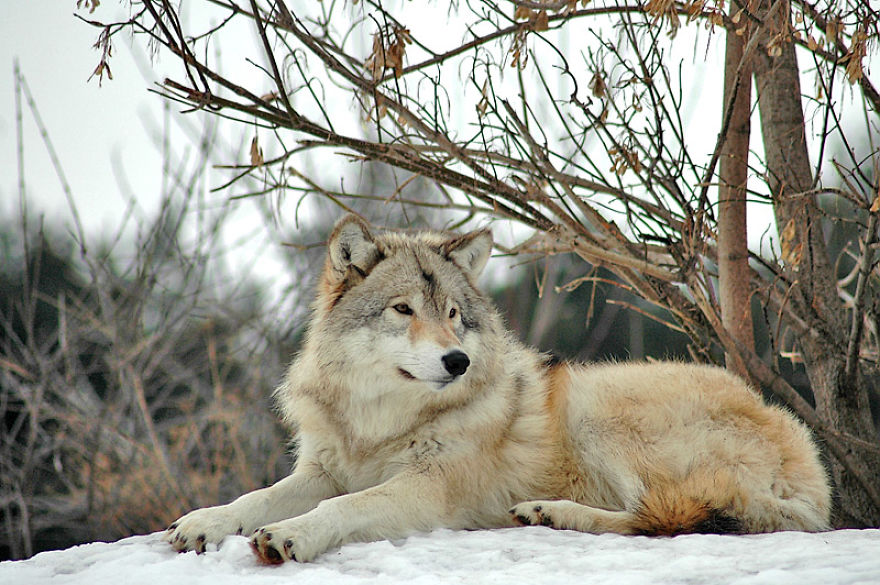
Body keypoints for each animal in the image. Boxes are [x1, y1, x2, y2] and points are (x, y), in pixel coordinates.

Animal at [165, 213, 832, 560]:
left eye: (454, 313)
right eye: (404, 310)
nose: (457, 360)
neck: (381, 426)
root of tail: (812, 468)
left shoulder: (427, 489)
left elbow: (342, 507)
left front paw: (291, 536)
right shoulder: (322, 470)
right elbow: (254, 498)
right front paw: (204, 522)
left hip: (599, 407)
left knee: (658, 519)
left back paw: (551, 513)